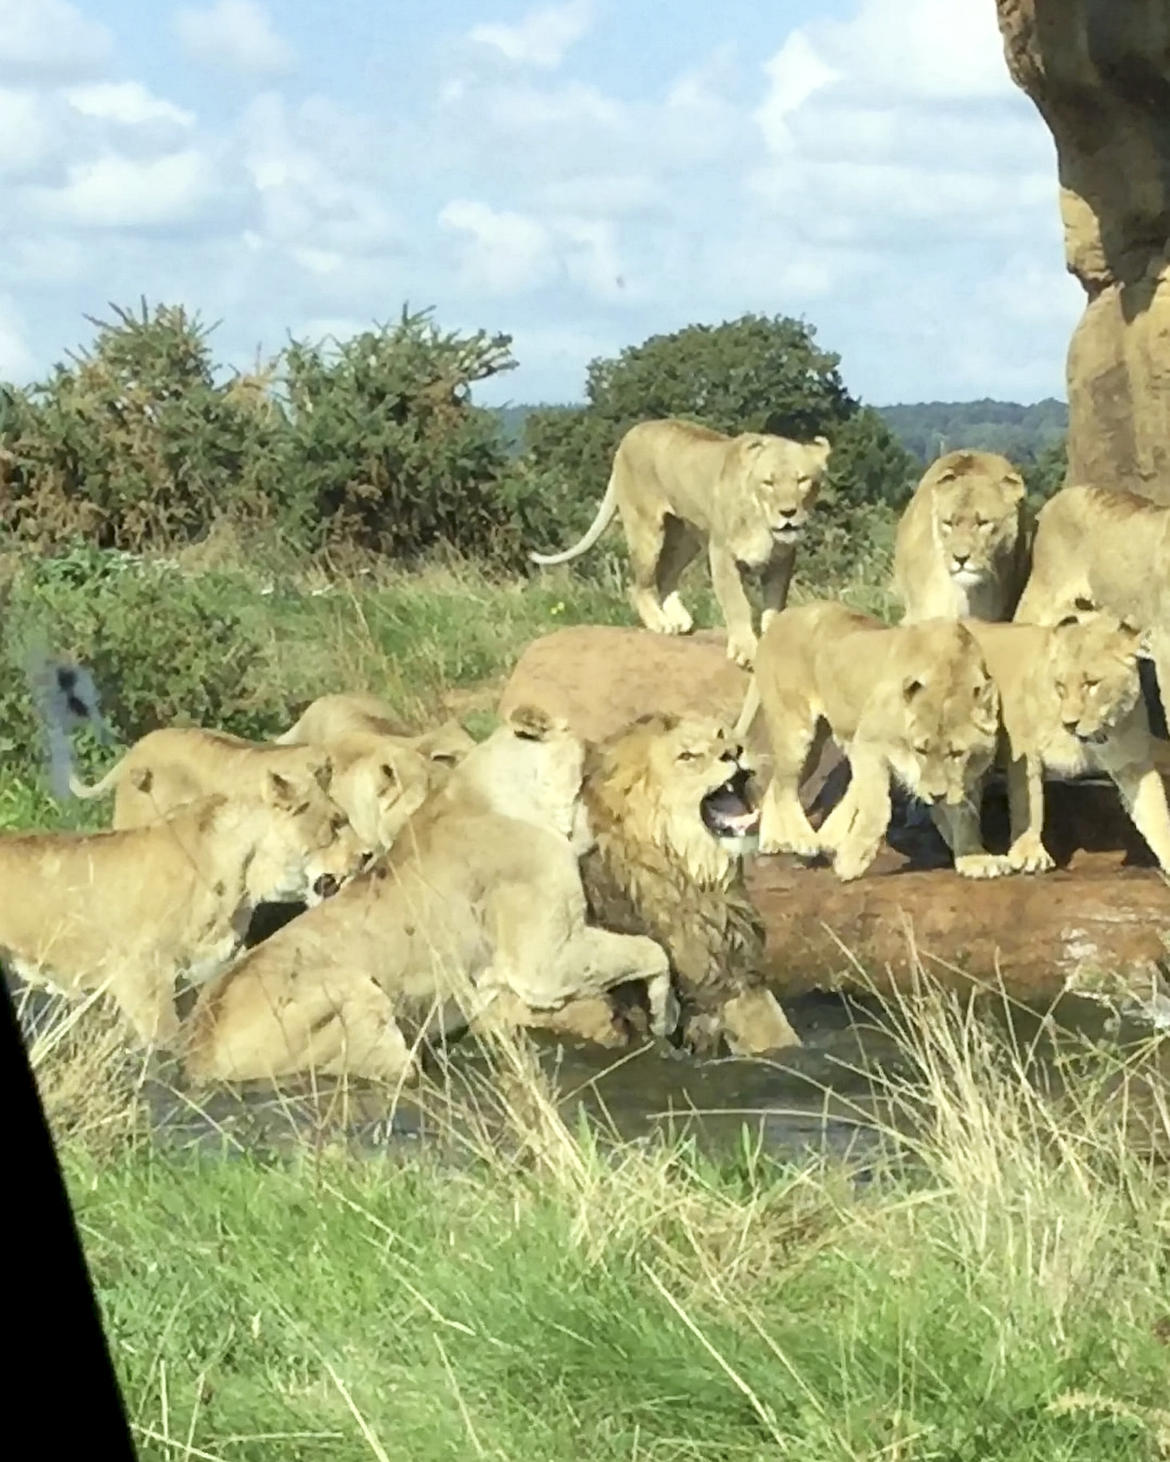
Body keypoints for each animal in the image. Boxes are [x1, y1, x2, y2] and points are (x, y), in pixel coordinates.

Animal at [182, 707, 675, 1087]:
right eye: (592, 746)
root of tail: (199, 1054)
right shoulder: (544, 962)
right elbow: (652, 950)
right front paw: (663, 1018)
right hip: (356, 996)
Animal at [529, 418, 830, 669]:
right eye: (768, 482)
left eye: (803, 480)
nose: (788, 513)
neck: (763, 523)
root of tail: (629, 435)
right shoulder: (721, 555)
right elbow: (737, 604)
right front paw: (745, 650)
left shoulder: (782, 560)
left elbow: (774, 604)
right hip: (646, 530)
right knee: (640, 583)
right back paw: (661, 623)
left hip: (686, 537)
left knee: (666, 573)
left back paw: (678, 618)